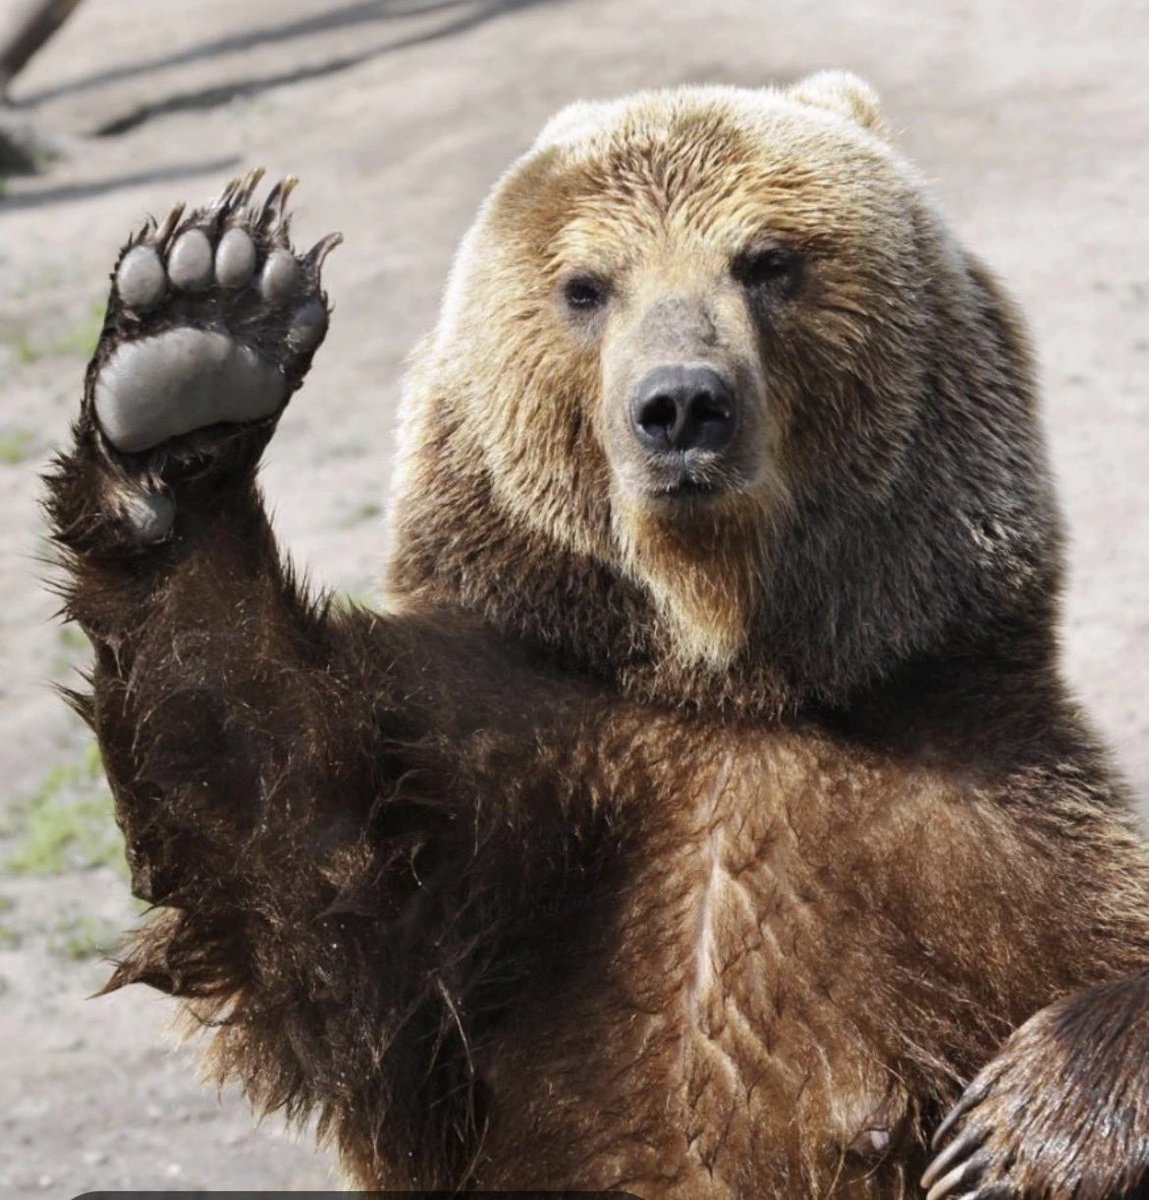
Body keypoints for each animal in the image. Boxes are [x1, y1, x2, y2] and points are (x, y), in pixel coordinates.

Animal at [43, 72, 1149, 1198]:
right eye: (585, 285)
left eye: (767, 260)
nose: (684, 405)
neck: (726, 671)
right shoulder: (487, 810)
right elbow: (270, 811)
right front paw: (198, 338)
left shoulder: (985, 827)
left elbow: (1092, 944)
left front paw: (1012, 1126)